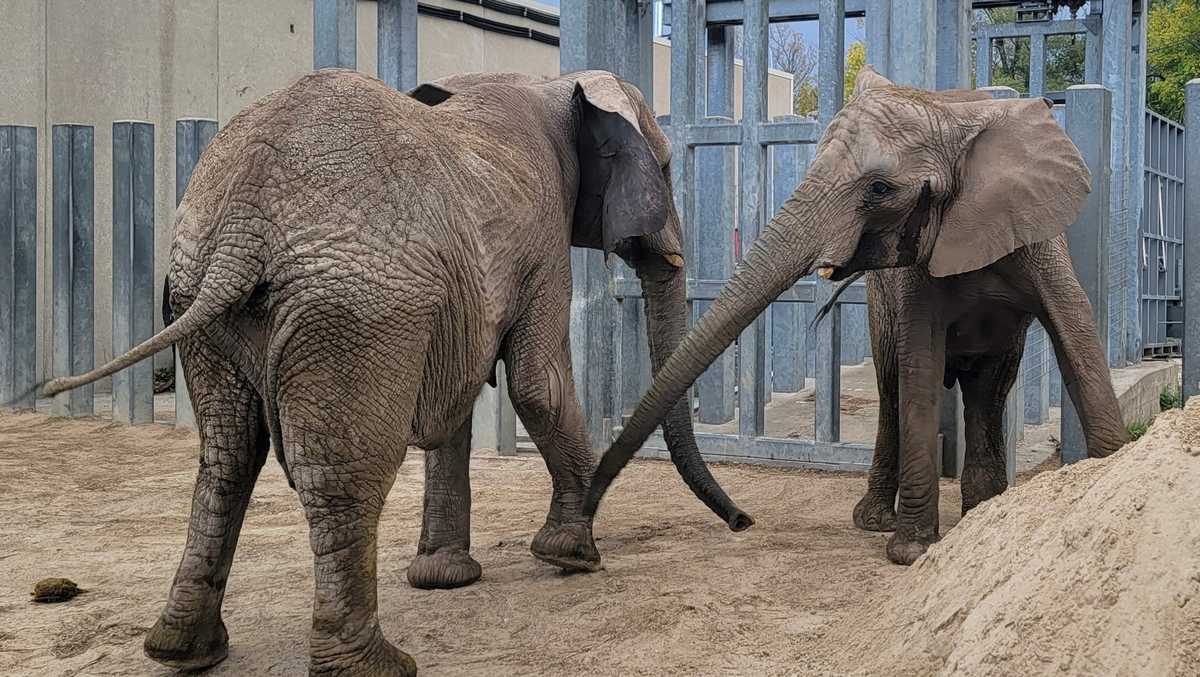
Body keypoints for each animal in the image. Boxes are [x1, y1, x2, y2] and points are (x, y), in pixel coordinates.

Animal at [37, 67, 753, 675]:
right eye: (666, 167)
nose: (742, 524)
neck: (556, 84)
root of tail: (245, 215)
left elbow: (459, 403)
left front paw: (446, 579)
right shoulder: (542, 237)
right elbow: (537, 384)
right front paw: (573, 557)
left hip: (203, 295)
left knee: (227, 456)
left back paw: (183, 651)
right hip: (356, 307)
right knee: (344, 472)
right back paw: (373, 665)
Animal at [582, 66, 1127, 566]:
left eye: (880, 189)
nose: (742, 521)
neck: (953, 118)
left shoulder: (1037, 237)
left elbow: (1077, 337)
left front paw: (1111, 469)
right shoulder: (912, 274)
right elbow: (918, 365)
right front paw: (911, 551)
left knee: (989, 387)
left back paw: (981, 508)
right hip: (880, 305)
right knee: (894, 386)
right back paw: (880, 520)